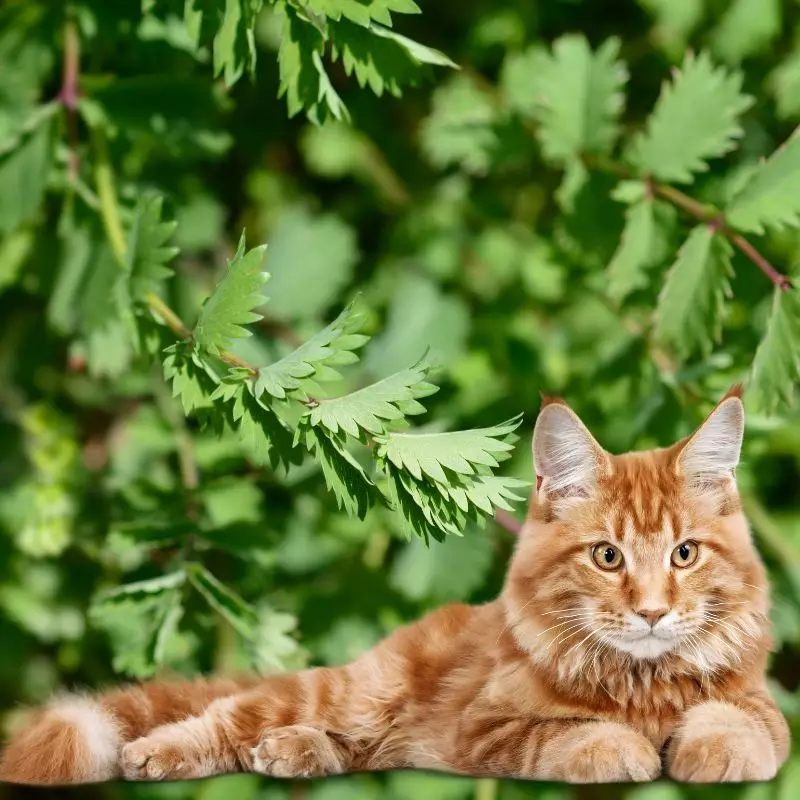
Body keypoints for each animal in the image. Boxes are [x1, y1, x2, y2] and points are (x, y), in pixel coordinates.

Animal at [0, 390, 788, 784]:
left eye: (684, 554)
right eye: (607, 557)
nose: (652, 612)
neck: (640, 685)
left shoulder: (758, 704)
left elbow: (738, 722)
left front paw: (713, 751)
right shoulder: (487, 727)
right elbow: (571, 736)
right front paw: (623, 749)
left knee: (342, 746)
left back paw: (292, 754)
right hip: (349, 691)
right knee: (226, 716)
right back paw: (156, 755)